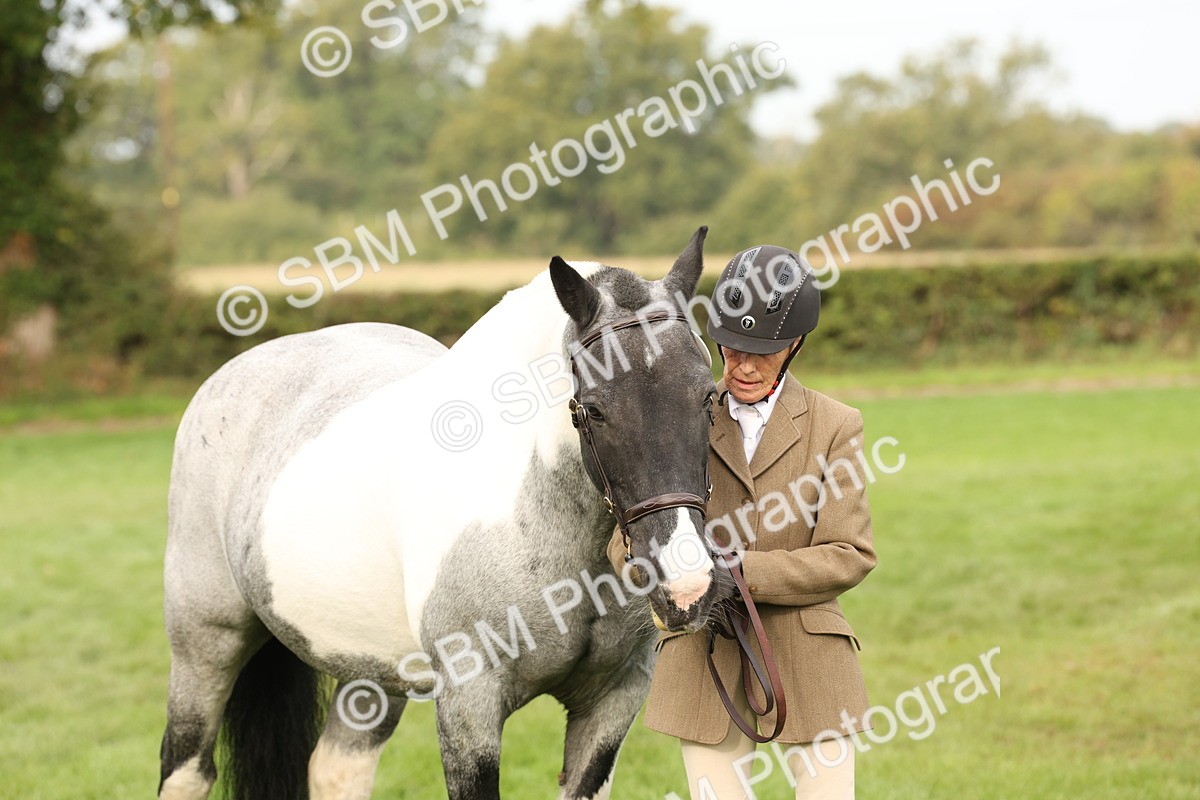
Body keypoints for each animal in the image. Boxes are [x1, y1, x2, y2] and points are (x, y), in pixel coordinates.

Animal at [157, 226, 733, 800]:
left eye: (709, 397)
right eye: (593, 410)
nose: (686, 586)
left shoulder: (612, 700)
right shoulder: (468, 703)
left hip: (368, 671)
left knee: (338, 766)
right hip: (205, 644)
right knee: (185, 769)